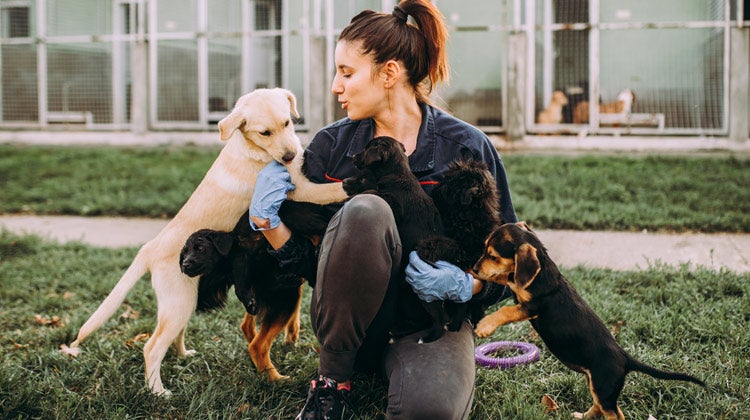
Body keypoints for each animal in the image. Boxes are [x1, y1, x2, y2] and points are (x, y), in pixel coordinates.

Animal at [61, 87, 350, 396]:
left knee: (174, 336)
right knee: (152, 347)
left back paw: (183, 354)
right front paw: (360, 180)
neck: (252, 149)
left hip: (186, 300)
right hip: (179, 302)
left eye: (287, 123)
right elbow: (331, 189)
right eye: (264, 133)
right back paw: (158, 392)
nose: (290, 155)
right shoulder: (301, 189)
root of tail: (150, 248)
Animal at [342, 136, 456, 342]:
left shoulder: (394, 203)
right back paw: (399, 331)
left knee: (439, 318)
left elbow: (374, 192)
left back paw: (428, 337)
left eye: (366, 149)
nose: (353, 156)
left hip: (425, 294)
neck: (396, 173)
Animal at [418, 159, 506, 330]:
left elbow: (453, 245)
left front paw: (428, 245)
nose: (434, 190)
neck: (468, 217)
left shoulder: (470, 253)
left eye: (448, 184)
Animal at [472, 221, 708, 418]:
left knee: (615, 414)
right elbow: (505, 276)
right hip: (596, 385)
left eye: (493, 256)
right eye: (484, 250)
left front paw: (484, 326)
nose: (474, 268)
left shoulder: (533, 305)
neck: (542, 274)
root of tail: (625, 358)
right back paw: (582, 416)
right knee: (602, 408)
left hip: (603, 387)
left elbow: (506, 309)